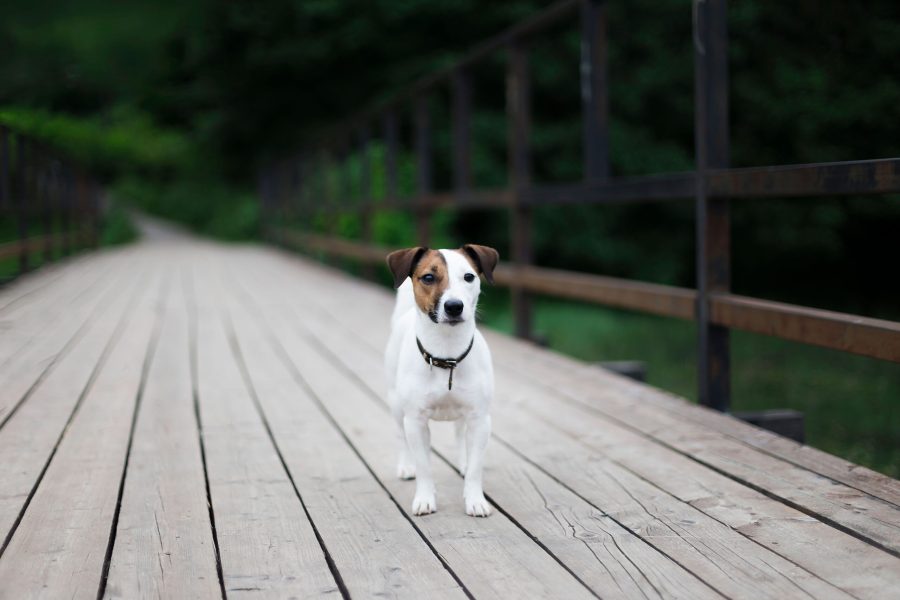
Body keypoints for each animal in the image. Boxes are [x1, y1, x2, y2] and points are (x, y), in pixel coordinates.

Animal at [384, 244, 502, 516]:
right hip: (396, 404)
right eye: (428, 277)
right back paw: (406, 465)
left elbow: (476, 468)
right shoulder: (415, 421)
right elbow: (424, 466)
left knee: (460, 433)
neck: (447, 356)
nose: (454, 306)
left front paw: (475, 499)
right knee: (401, 436)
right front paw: (425, 499)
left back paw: (463, 461)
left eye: (469, 277)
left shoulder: (480, 419)